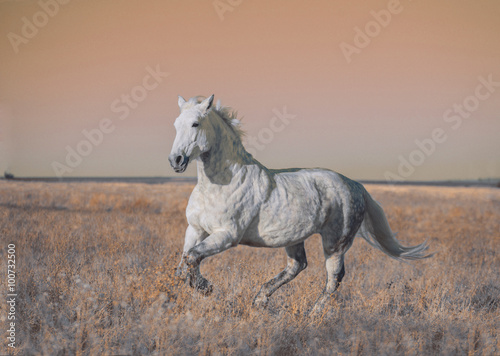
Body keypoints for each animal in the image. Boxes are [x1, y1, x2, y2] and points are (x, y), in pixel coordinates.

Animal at [169, 95, 434, 314]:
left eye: (195, 124)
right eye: (176, 124)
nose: (176, 160)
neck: (221, 184)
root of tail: (356, 185)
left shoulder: (227, 235)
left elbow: (192, 258)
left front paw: (206, 287)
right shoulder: (195, 229)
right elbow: (183, 264)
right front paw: (194, 288)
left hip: (335, 243)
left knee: (334, 278)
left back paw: (313, 314)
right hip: (293, 238)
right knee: (298, 266)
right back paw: (260, 301)